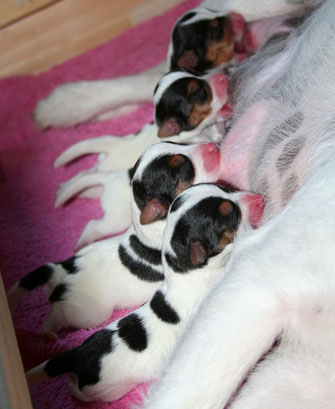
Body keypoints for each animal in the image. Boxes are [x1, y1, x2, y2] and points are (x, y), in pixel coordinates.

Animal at [7, 140, 220, 332]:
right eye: (183, 169)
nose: (213, 146)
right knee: (57, 317)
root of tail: (62, 269)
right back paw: (49, 334)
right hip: (88, 312)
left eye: (180, 143)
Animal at [26, 182, 266, 402]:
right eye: (231, 215)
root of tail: (79, 354)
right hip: (104, 378)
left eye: (226, 187)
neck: (183, 269)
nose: (259, 199)